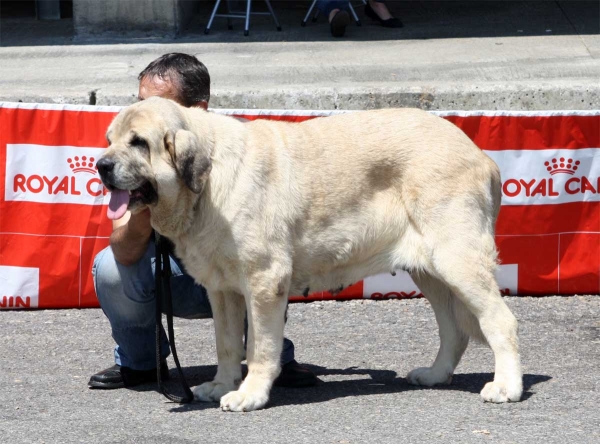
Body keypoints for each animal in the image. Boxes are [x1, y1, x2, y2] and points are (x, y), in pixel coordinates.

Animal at [97, 97, 520, 412]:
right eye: (109, 139)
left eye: (138, 142)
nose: (101, 165)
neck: (208, 181)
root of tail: (481, 154)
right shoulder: (223, 290)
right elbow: (228, 343)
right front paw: (220, 385)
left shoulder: (264, 281)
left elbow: (260, 346)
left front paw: (250, 395)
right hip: (430, 271)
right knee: (453, 329)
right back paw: (435, 375)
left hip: (457, 260)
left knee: (501, 321)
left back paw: (506, 387)